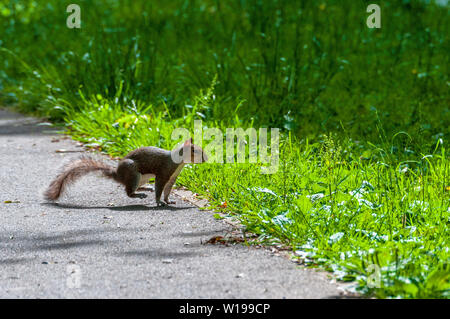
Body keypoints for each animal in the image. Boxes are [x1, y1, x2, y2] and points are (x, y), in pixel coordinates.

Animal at [44, 139, 207, 206]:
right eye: (195, 151)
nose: (206, 158)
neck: (178, 163)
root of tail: (118, 174)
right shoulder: (163, 173)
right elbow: (160, 188)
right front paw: (159, 202)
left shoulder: (172, 177)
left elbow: (167, 190)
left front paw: (168, 201)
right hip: (134, 173)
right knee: (128, 192)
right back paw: (139, 194)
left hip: (142, 177)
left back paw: (145, 189)